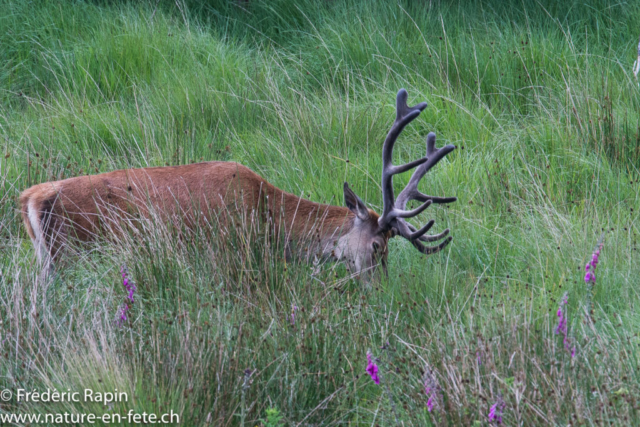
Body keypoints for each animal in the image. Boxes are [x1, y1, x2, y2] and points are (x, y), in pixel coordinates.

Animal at [18, 88, 456, 280]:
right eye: (378, 246)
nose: (379, 289)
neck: (268, 222)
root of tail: (31, 198)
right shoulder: (227, 255)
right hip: (78, 254)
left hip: (50, 262)